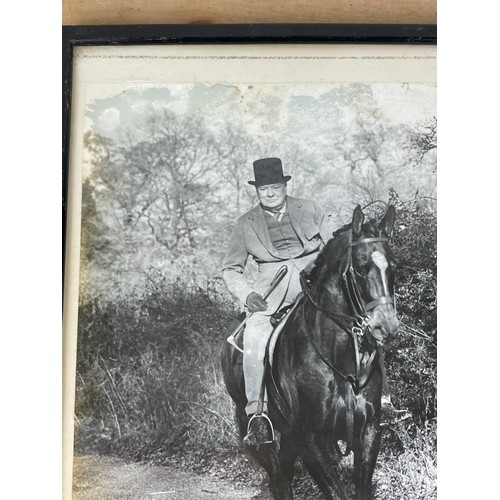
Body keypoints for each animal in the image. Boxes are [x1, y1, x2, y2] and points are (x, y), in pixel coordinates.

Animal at [221, 205, 400, 498]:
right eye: (361, 268)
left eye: (393, 267)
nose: (386, 326)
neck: (337, 359)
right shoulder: (311, 441)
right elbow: (336, 492)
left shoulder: (368, 433)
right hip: (258, 431)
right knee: (278, 477)